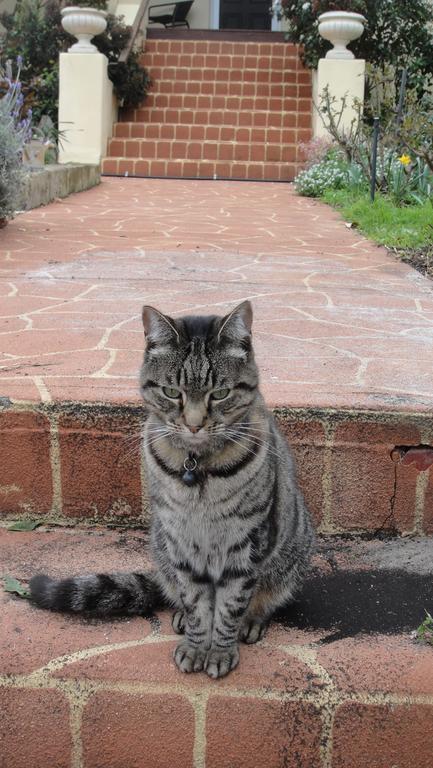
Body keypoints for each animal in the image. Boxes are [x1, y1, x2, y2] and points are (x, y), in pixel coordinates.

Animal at [31, 304, 314, 680]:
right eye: (171, 392)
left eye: (220, 394)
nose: (194, 424)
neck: (198, 467)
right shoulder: (181, 541)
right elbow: (196, 604)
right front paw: (196, 645)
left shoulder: (244, 543)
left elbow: (229, 606)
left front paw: (220, 651)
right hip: (162, 547)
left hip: (289, 557)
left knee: (264, 597)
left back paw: (252, 621)